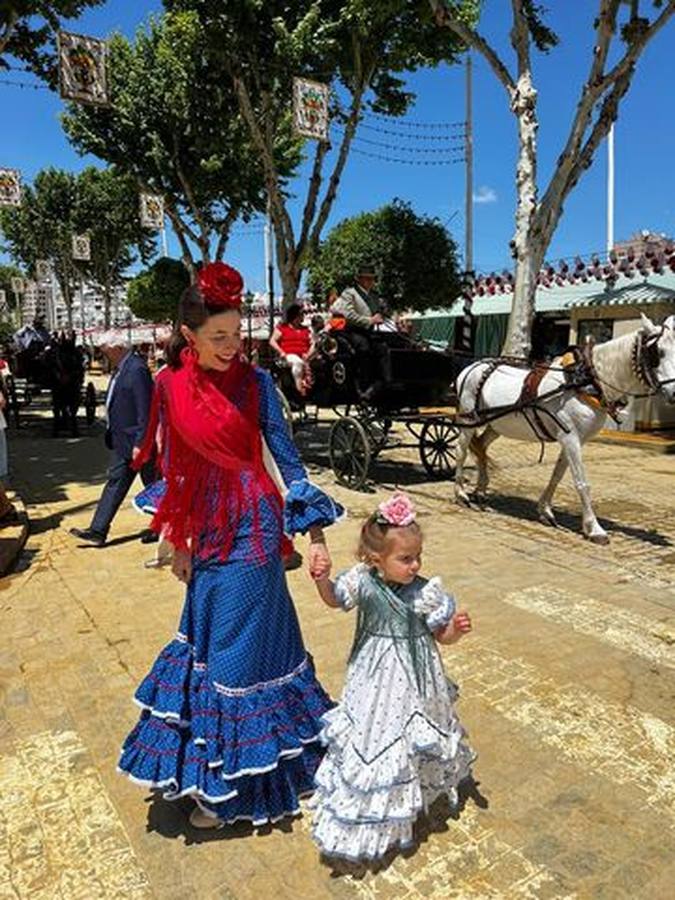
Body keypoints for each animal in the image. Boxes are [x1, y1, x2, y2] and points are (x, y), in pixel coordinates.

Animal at [452, 316, 675, 540]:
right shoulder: (571, 438)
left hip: (495, 424)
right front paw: (594, 528)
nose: (674, 393)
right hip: (468, 420)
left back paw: (480, 490)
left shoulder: (574, 439)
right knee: (462, 450)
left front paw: (545, 510)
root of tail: (471, 367)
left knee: (481, 447)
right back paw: (461, 492)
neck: (586, 382)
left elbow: (557, 475)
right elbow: (582, 482)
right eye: (658, 352)